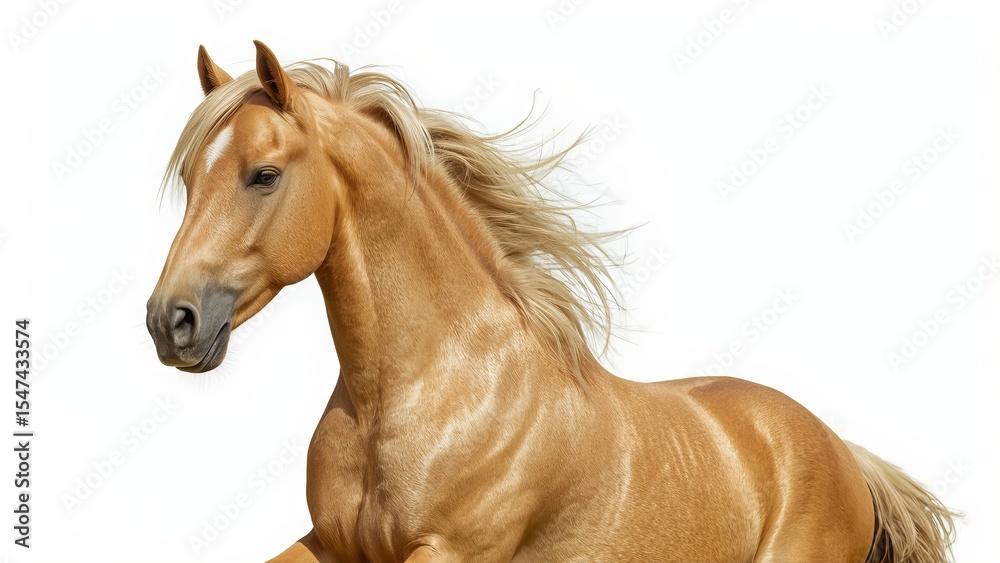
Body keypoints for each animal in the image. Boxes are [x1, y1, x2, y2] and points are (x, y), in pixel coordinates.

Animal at [146, 41, 956, 562]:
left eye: (264, 174)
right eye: (190, 179)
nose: (170, 322)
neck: (420, 393)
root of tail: (844, 451)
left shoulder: (452, 552)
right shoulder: (329, 545)